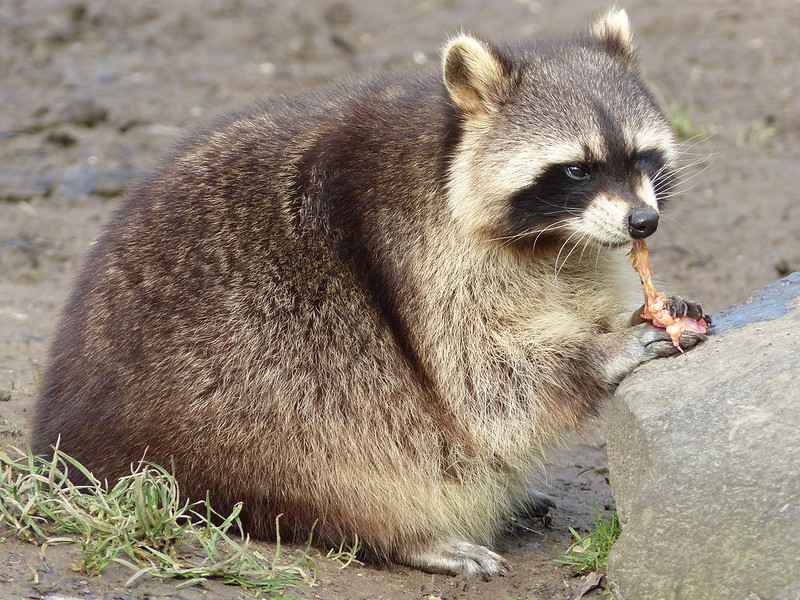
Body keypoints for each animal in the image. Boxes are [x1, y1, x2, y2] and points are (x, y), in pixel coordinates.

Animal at [32, 9, 707, 577]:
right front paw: (603, 351)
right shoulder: (421, 252)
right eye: (576, 169)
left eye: (643, 156)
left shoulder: (572, 251)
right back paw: (406, 533)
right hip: (240, 385)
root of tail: (67, 444)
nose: (644, 223)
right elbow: (484, 380)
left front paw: (640, 310)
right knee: (345, 416)